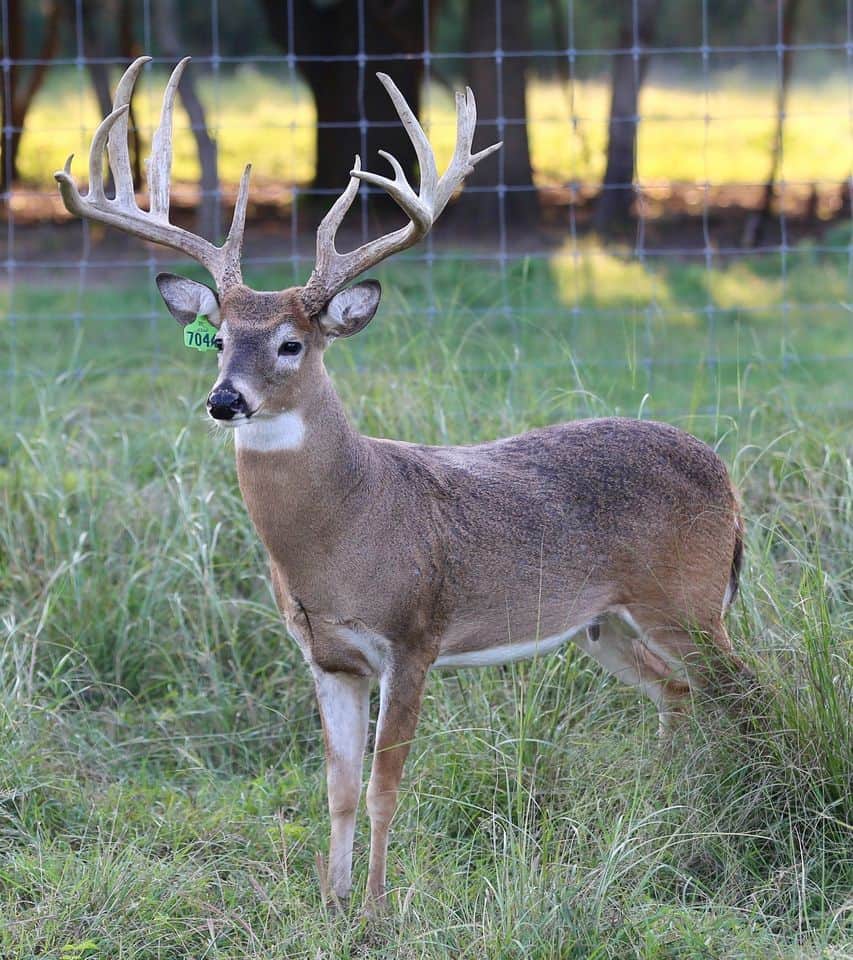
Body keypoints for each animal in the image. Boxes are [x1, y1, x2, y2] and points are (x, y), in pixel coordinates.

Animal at [56, 57, 753, 915]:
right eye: (216, 340)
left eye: (291, 343)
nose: (225, 400)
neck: (345, 531)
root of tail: (723, 473)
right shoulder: (328, 657)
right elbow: (337, 788)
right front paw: (329, 903)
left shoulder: (414, 636)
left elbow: (386, 784)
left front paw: (376, 909)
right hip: (605, 622)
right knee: (677, 692)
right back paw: (662, 803)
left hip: (687, 597)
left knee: (744, 693)